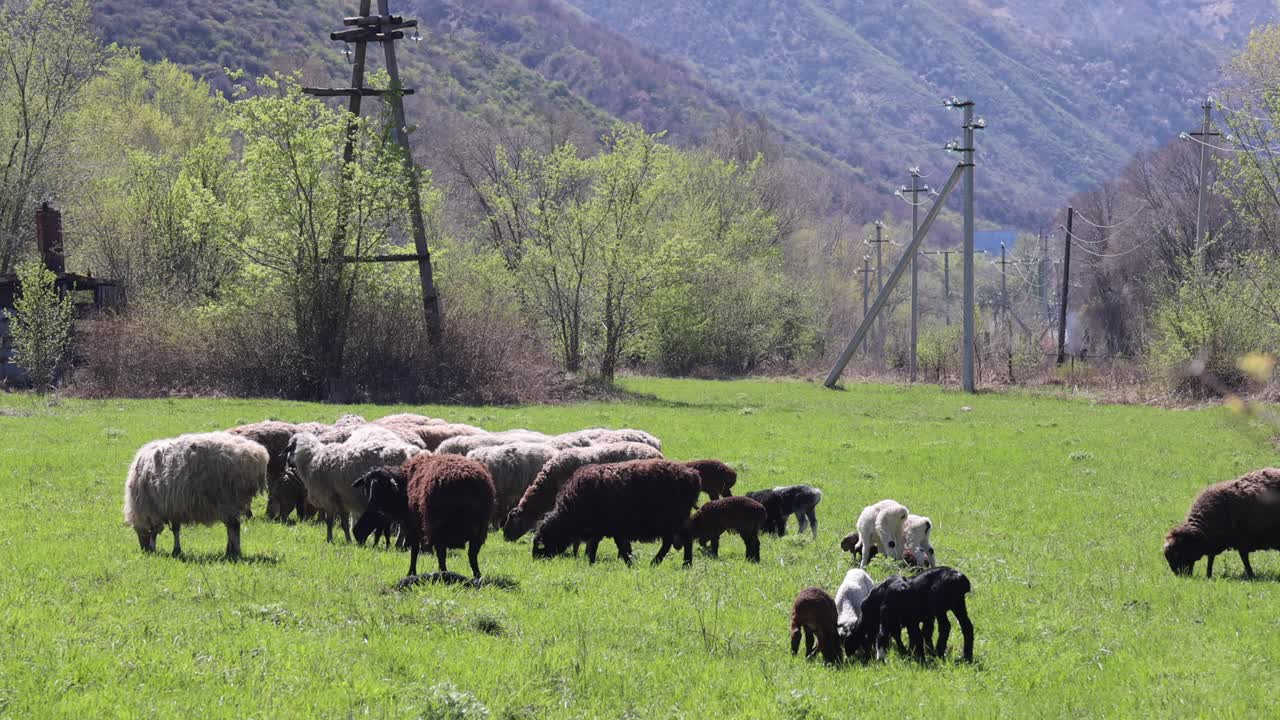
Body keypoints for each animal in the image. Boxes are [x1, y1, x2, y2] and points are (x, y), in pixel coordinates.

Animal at [123, 432, 268, 558]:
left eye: (138, 531)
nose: (145, 551)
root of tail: (256, 454)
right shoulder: (174, 506)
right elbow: (175, 529)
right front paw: (176, 550)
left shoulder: (163, 507)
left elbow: (165, 530)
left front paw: (174, 551)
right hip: (232, 500)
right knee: (231, 526)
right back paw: (230, 551)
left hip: (228, 498)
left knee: (234, 526)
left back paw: (234, 552)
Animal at [286, 431, 419, 543]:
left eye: (290, 448)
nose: (288, 462)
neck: (312, 459)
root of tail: (411, 453)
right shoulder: (342, 499)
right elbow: (344, 523)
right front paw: (348, 540)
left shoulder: (328, 497)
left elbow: (329, 522)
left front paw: (329, 539)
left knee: (404, 525)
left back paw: (398, 544)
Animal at [355, 454, 495, 579]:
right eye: (366, 485)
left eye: (382, 486)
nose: (371, 504)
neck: (403, 486)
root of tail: (465, 479)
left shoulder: (413, 526)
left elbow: (414, 551)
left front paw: (411, 573)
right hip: (479, 528)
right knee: (472, 555)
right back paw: (477, 576)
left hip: (438, 526)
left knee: (443, 555)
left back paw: (444, 575)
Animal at [532, 459, 701, 566]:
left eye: (541, 544)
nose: (535, 561)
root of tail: (692, 475)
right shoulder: (603, 529)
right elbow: (596, 547)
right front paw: (591, 564)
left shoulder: (611, 528)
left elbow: (617, 547)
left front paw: (628, 564)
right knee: (675, 540)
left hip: (672, 519)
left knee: (680, 540)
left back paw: (675, 564)